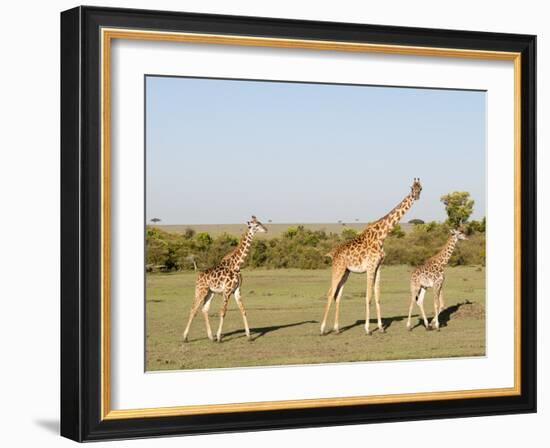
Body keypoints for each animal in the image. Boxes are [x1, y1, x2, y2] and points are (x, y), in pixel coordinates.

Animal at [182, 216, 268, 344]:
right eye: (255, 225)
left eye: (260, 222)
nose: (266, 229)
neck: (236, 265)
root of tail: (198, 277)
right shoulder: (227, 290)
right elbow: (223, 312)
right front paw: (219, 337)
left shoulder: (237, 290)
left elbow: (243, 310)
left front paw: (249, 336)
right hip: (201, 290)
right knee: (193, 309)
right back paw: (185, 337)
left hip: (210, 292)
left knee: (204, 309)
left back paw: (210, 337)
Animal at [322, 178, 424, 336]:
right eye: (411, 188)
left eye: (421, 188)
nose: (416, 196)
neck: (382, 236)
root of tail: (333, 253)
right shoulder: (370, 267)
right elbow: (368, 296)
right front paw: (368, 329)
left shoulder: (378, 267)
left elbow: (377, 296)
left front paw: (381, 327)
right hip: (338, 268)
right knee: (329, 293)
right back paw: (322, 329)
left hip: (346, 272)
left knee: (337, 295)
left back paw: (337, 329)